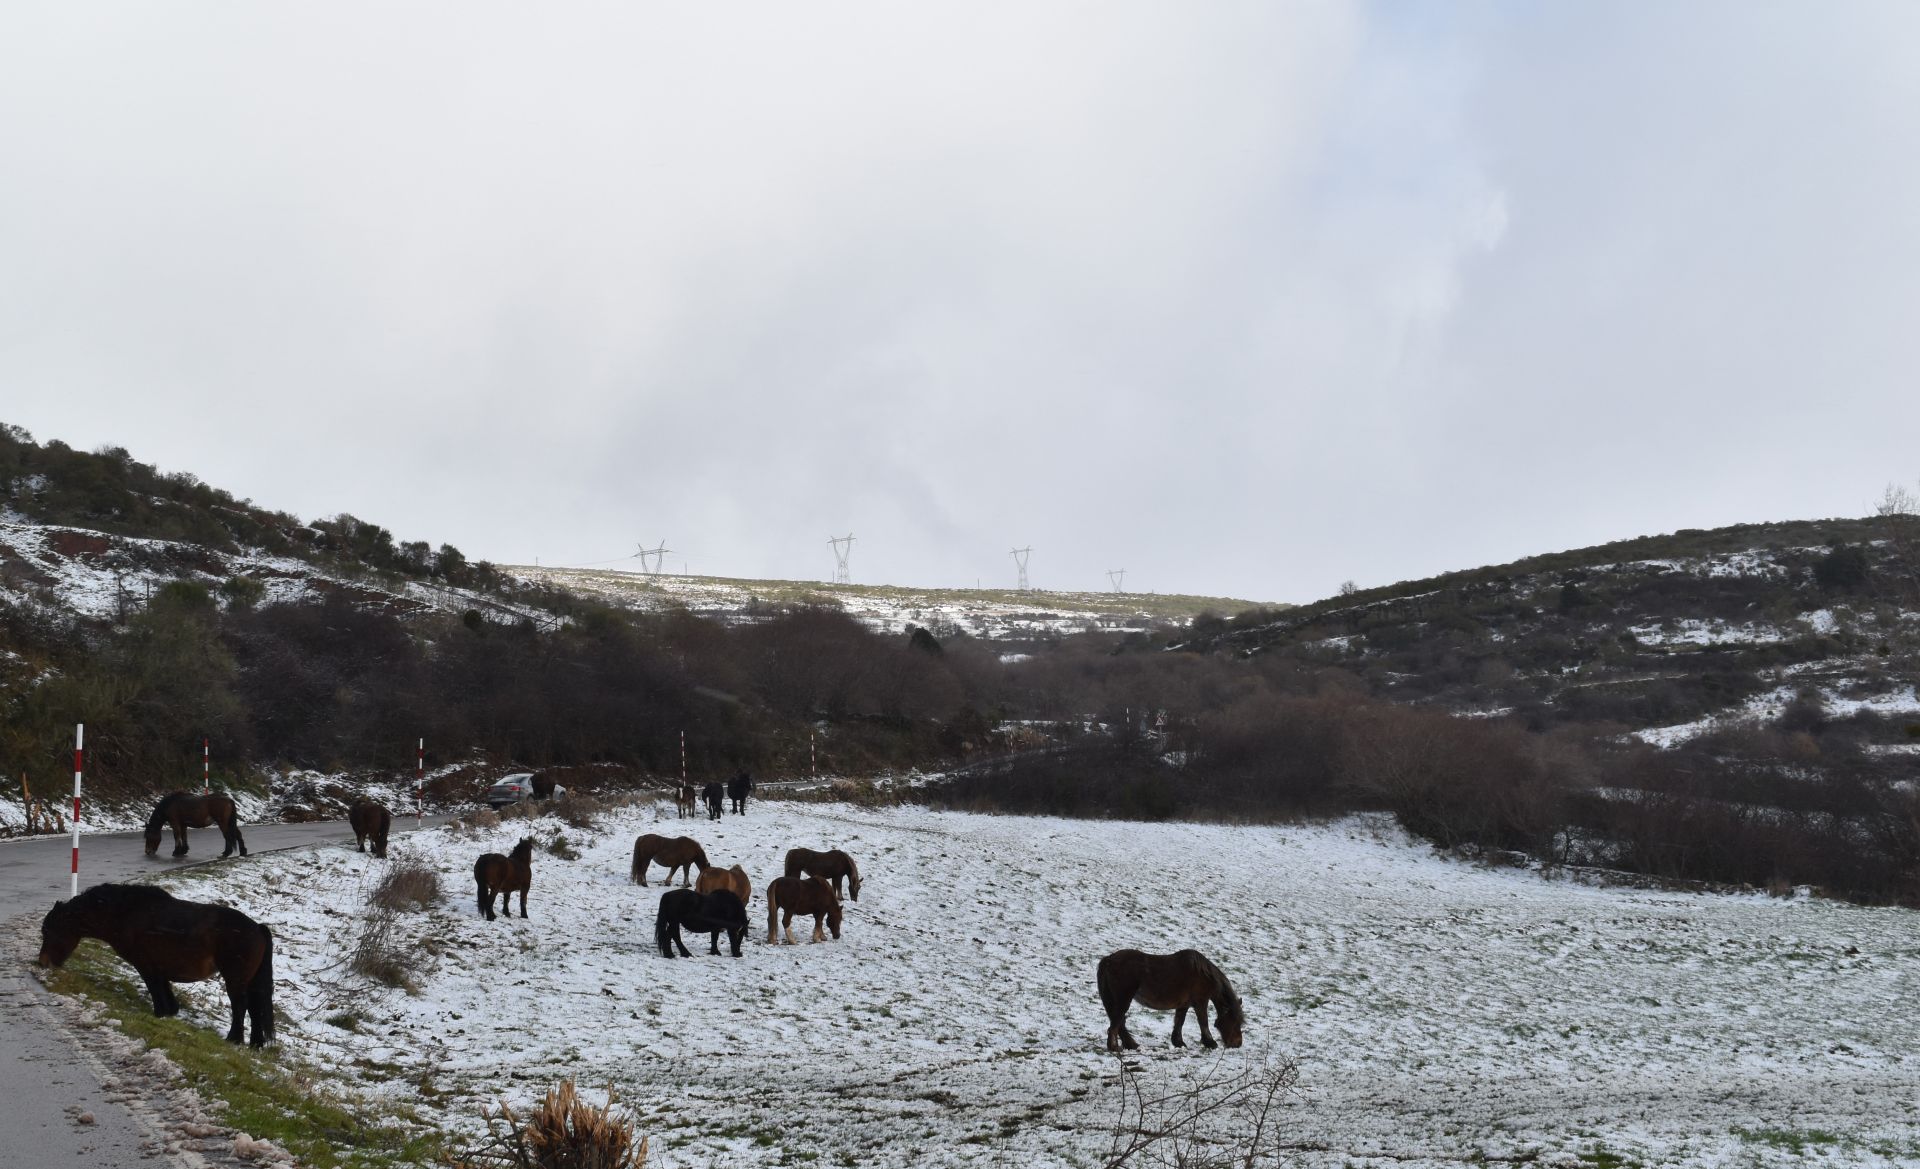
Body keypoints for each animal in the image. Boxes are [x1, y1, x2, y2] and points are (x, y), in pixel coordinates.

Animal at [37, 882, 276, 1051]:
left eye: (49, 930)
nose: (42, 962)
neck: (125, 913)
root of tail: (258, 928)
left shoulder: (145, 965)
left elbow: (155, 989)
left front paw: (160, 1013)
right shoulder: (158, 967)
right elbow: (165, 988)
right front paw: (170, 1012)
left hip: (235, 979)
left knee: (241, 1006)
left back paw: (234, 1039)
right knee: (254, 1008)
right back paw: (256, 1044)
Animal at [1098, 944, 1244, 1051]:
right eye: (1235, 1021)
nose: (1238, 1044)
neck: (1203, 974)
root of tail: (1108, 959)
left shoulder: (1184, 1005)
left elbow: (1179, 1021)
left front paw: (1178, 1042)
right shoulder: (1201, 1002)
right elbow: (1203, 1021)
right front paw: (1210, 1043)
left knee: (1119, 1023)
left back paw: (1130, 1045)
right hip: (1123, 999)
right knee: (1117, 1022)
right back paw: (1114, 1047)